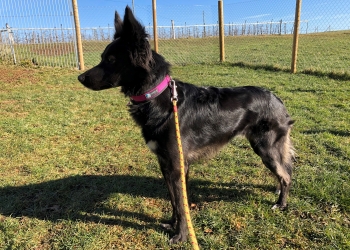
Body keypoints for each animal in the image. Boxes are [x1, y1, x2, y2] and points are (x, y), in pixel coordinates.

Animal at [78, 6, 294, 244]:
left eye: (111, 59)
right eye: (103, 58)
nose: (80, 78)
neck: (157, 96)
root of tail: (277, 99)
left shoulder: (177, 165)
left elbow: (181, 204)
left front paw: (180, 235)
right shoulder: (165, 164)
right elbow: (174, 200)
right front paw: (172, 224)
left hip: (266, 148)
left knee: (286, 176)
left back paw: (281, 204)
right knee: (285, 171)